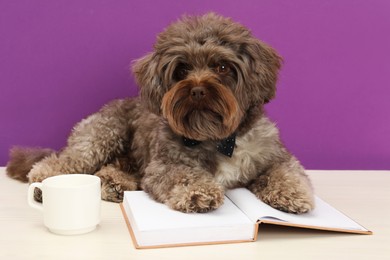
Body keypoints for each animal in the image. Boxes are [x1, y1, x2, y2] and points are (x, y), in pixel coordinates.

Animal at [6, 12, 316, 213]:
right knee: (68, 161)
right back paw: (45, 179)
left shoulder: (274, 155)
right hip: (103, 134)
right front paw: (198, 193)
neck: (217, 138)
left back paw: (116, 183)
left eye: (222, 67)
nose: (198, 90)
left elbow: (287, 172)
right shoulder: (165, 165)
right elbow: (184, 176)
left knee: (110, 169)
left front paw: (292, 193)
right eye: (181, 69)